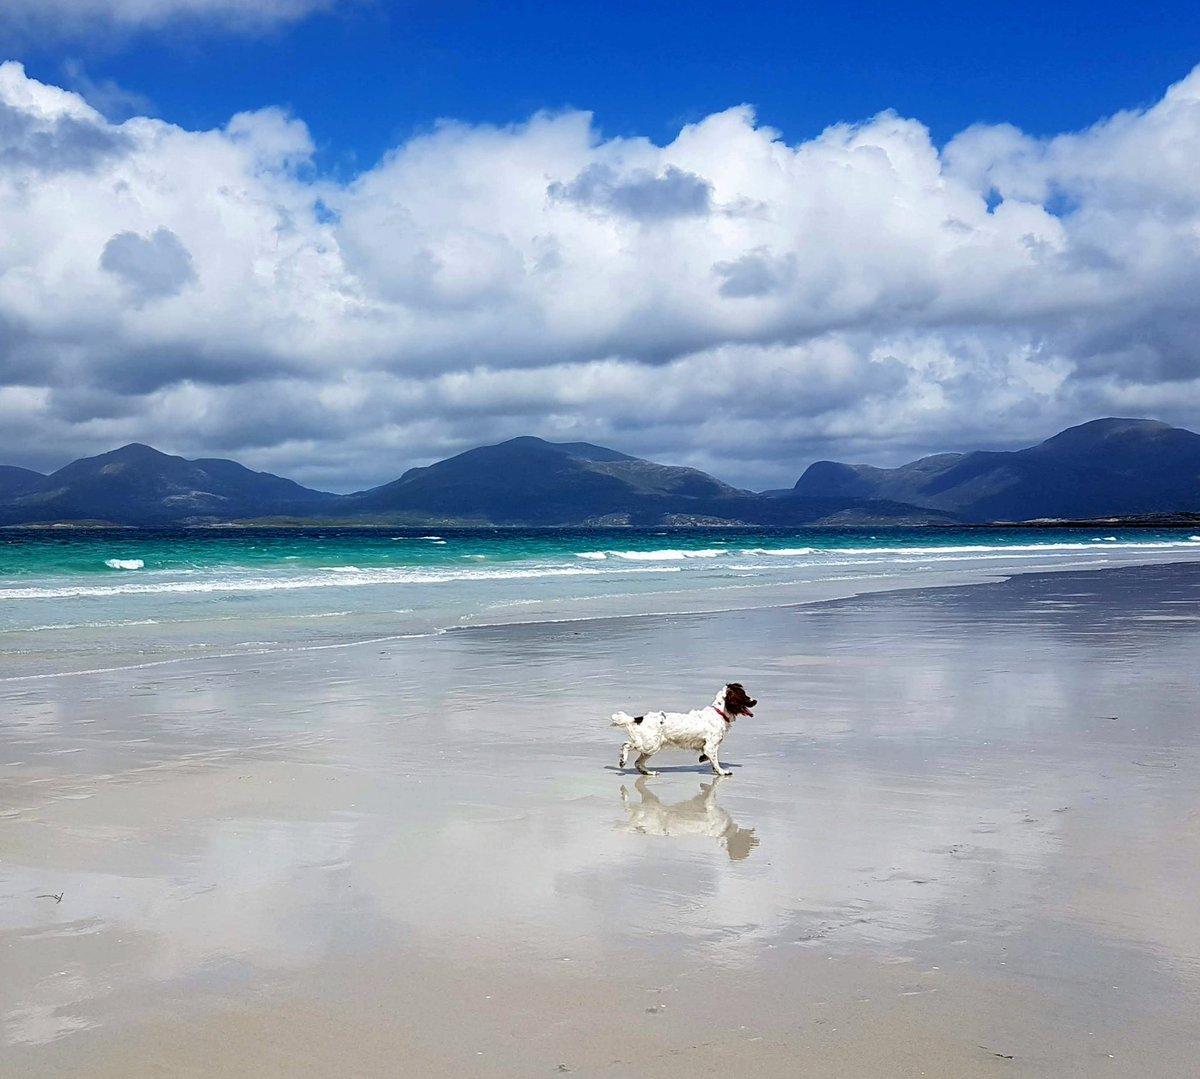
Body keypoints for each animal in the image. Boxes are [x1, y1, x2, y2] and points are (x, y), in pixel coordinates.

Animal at [609, 681, 758, 777]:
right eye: (744, 695)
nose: (755, 701)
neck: (719, 713)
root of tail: (638, 719)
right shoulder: (711, 746)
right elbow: (715, 761)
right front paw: (722, 771)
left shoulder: (707, 747)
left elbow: (707, 757)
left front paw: (705, 761)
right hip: (649, 745)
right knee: (626, 745)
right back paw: (623, 761)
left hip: (651, 747)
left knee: (638, 763)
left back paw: (650, 772)